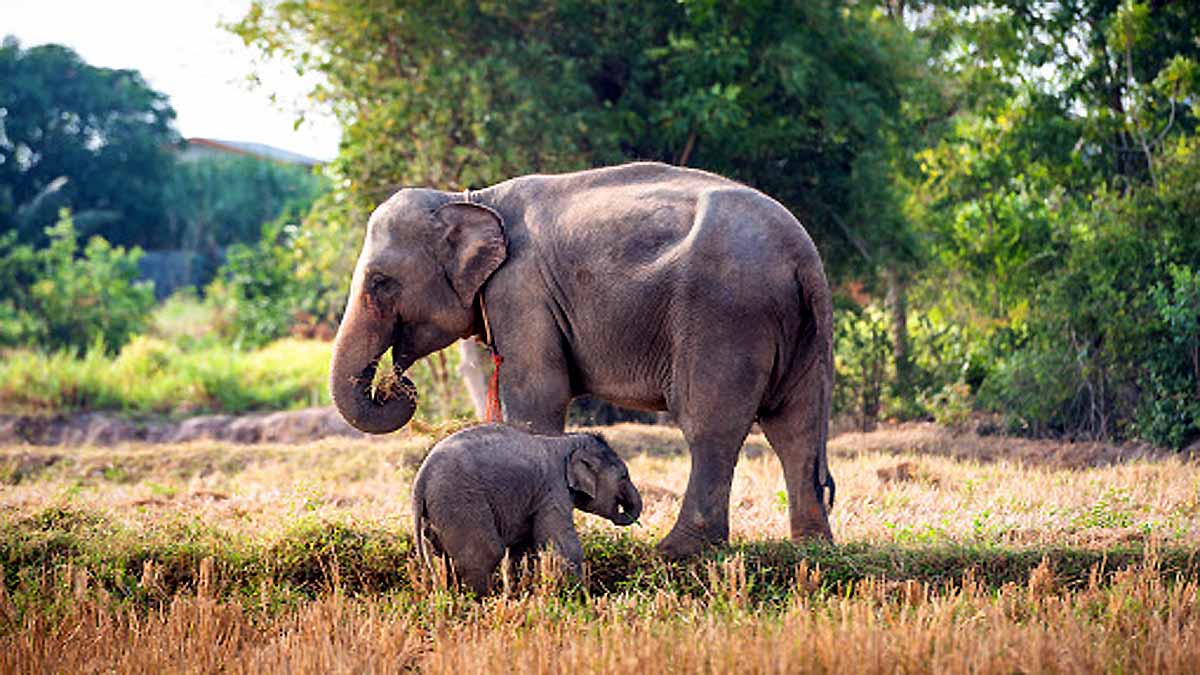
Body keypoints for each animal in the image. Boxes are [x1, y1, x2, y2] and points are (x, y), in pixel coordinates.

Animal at [330, 161, 835, 558]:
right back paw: (810, 548)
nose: (395, 382)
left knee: (710, 425)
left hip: (725, 317)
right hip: (799, 332)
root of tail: (805, 256)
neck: (472, 198)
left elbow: (537, 395)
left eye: (381, 283)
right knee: (795, 426)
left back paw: (676, 552)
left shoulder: (522, 291)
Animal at [412, 424, 642, 595]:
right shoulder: (552, 490)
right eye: (623, 477)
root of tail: (421, 477)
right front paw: (580, 600)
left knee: (443, 559)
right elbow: (564, 546)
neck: (567, 441)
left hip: (437, 512)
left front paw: (517, 596)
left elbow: (520, 550)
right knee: (485, 554)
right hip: (460, 501)